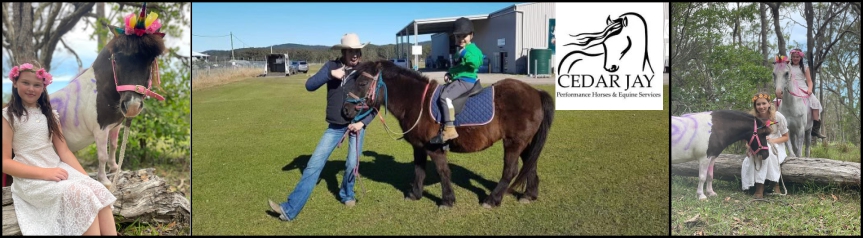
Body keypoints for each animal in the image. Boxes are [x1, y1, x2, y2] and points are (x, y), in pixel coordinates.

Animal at [342, 60, 552, 208]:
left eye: (362, 82)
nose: (345, 111)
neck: (417, 102)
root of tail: (536, 91)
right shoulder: (419, 147)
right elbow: (419, 170)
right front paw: (415, 194)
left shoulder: (434, 148)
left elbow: (443, 171)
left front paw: (447, 200)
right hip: (525, 142)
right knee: (530, 164)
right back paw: (528, 195)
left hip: (513, 142)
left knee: (510, 171)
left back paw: (492, 200)